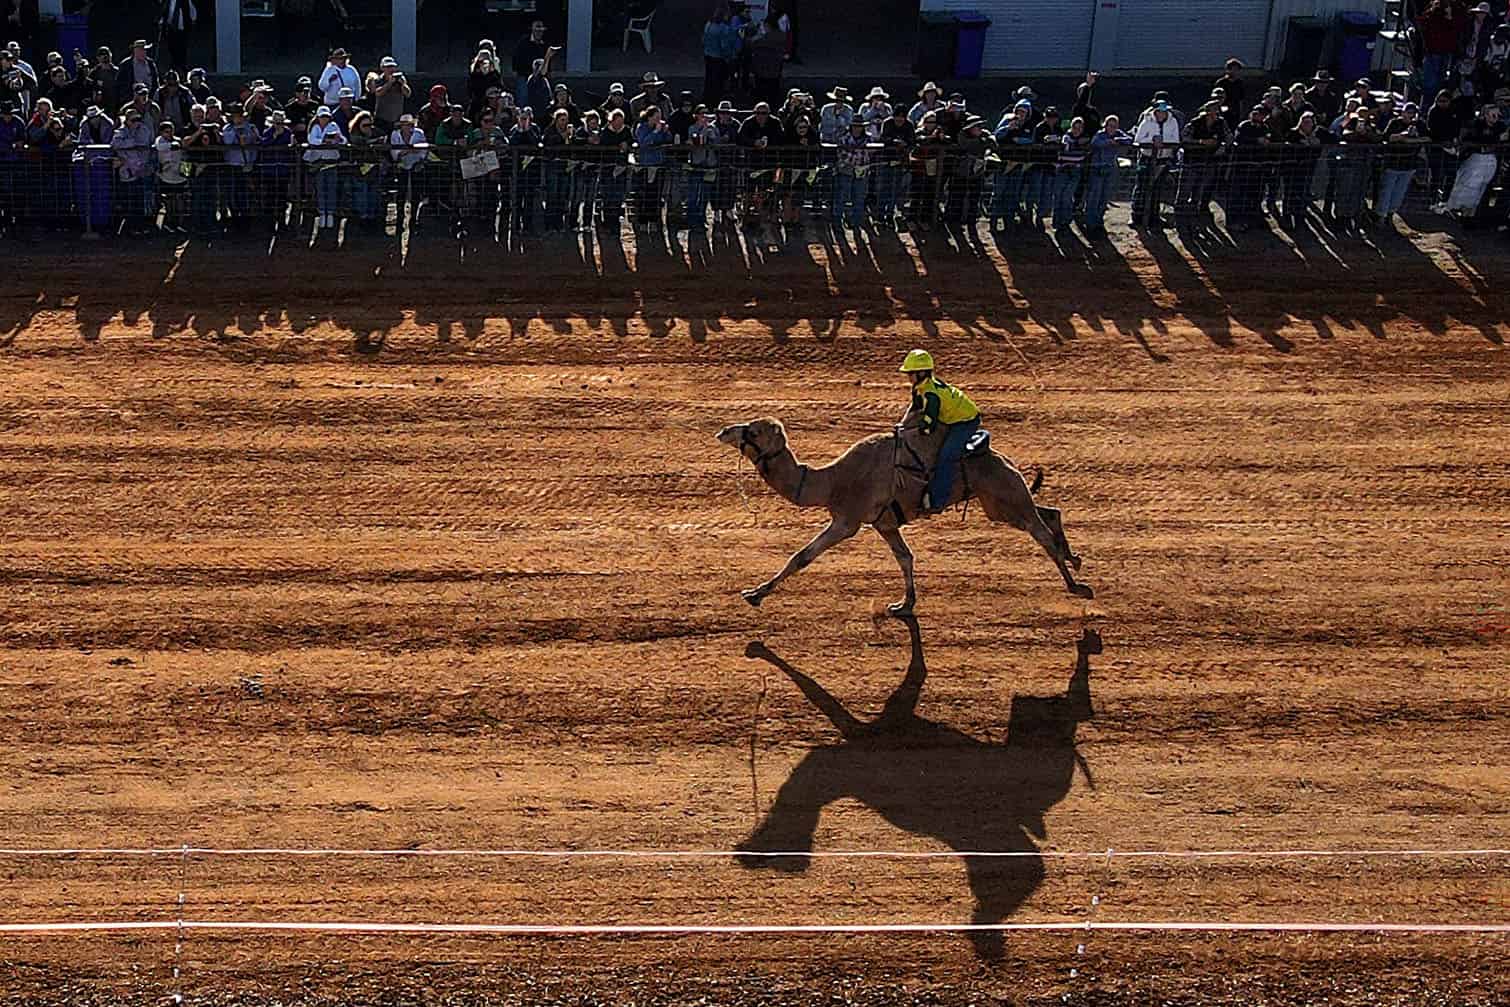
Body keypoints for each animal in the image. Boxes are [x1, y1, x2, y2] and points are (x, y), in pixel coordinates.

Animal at [715, 417, 1092, 612]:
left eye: (754, 430)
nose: (724, 430)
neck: (832, 481)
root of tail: (1004, 459)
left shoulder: (848, 520)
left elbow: (802, 556)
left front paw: (755, 594)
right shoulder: (883, 522)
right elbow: (905, 557)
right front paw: (904, 603)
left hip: (1002, 494)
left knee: (1039, 529)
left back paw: (1075, 584)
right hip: (997, 502)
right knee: (1048, 512)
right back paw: (1074, 560)